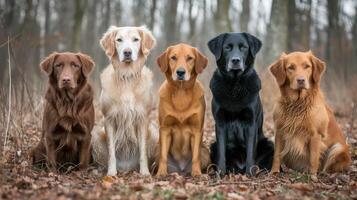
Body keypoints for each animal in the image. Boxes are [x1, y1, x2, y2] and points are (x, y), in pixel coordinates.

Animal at [155, 43, 209, 177]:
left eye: (189, 58)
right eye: (173, 57)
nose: (180, 72)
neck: (181, 93)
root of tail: (181, 170)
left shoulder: (197, 129)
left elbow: (196, 156)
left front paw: (197, 173)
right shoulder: (165, 129)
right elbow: (163, 156)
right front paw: (161, 173)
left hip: (205, 150)